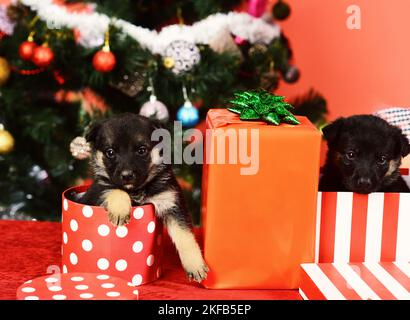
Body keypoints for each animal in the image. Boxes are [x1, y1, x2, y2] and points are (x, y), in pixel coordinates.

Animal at [79, 114, 210, 282]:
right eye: (110, 152)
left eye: (142, 150)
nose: (127, 175)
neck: (137, 190)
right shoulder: (99, 190)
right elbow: (116, 190)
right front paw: (120, 211)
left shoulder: (171, 203)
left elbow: (185, 236)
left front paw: (195, 265)